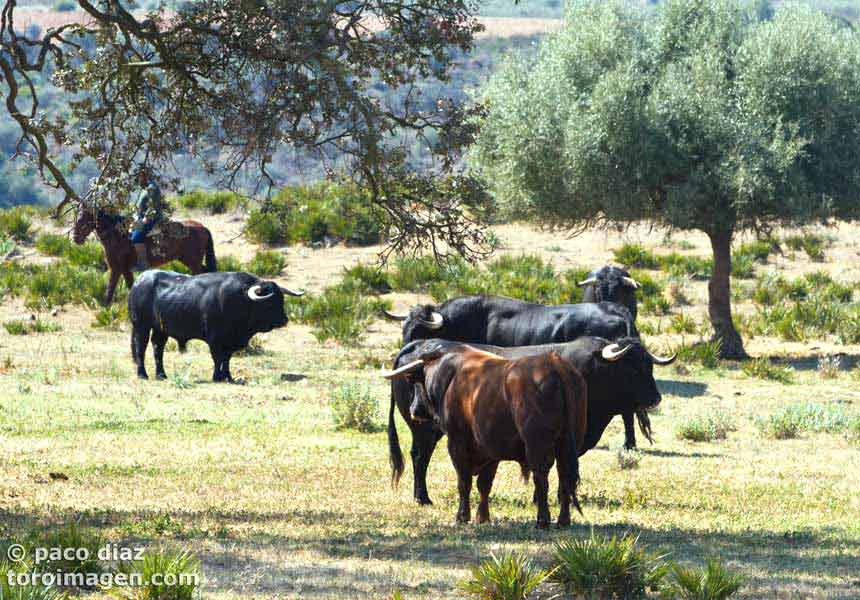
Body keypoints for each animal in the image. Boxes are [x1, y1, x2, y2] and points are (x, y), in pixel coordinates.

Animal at [74, 207, 218, 304]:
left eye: (83, 220)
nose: (76, 238)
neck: (118, 235)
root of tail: (202, 227)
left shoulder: (117, 268)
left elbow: (111, 288)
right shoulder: (123, 270)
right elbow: (127, 286)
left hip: (193, 262)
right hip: (188, 260)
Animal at [386, 336, 676, 504]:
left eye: (649, 365)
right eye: (633, 367)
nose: (655, 398)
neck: (593, 370)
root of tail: (416, 348)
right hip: (424, 428)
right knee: (419, 457)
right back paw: (422, 497)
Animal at [386, 346, 588, 528]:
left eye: (417, 383)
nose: (414, 410)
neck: (452, 377)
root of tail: (555, 365)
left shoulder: (457, 442)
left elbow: (464, 481)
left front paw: (462, 516)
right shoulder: (490, 449)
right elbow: (484, 484)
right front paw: (482, 517)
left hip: (537, 443)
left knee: (541, 478)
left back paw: (542, 521)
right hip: (567, 443)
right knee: (564, 478)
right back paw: (563, 521)